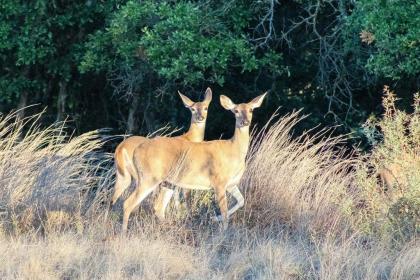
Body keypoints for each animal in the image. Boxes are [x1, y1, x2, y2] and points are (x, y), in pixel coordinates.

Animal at [110, 87, 212, 219]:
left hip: (123, 175)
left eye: (205, 108)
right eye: (192, 109)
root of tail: (120, 148)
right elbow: (184, 197)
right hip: (142, 176)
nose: (201, 118)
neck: (190, 138)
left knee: (113, 199)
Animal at [120, 92, 266, 232]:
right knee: (128, 203)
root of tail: (136, 152)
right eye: (236, 111)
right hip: (149, 177)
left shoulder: (231, 183)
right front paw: (223, 232)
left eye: (251, 109)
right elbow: (225, 213)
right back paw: (124, 233)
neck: (233, 151)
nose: (246, 121)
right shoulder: (218, 181)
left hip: (167, 182)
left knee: (158, 207)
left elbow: (241, 201)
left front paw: (214, 218)